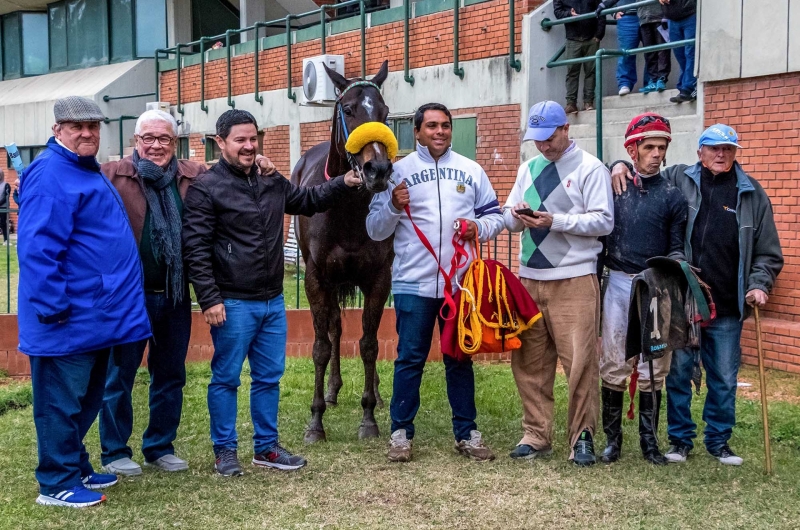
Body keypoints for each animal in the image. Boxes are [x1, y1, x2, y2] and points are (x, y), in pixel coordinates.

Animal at [292, 59, 396, 440]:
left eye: (384, 112)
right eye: (349, 109)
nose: (377, 169)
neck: (348, 210)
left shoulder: (379, 279)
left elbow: (369, 344)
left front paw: (368, 416)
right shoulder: (317, 279)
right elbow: (321, 346)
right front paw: (315, 421)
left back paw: (376, 393)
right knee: (335, 326)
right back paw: (333, 390)